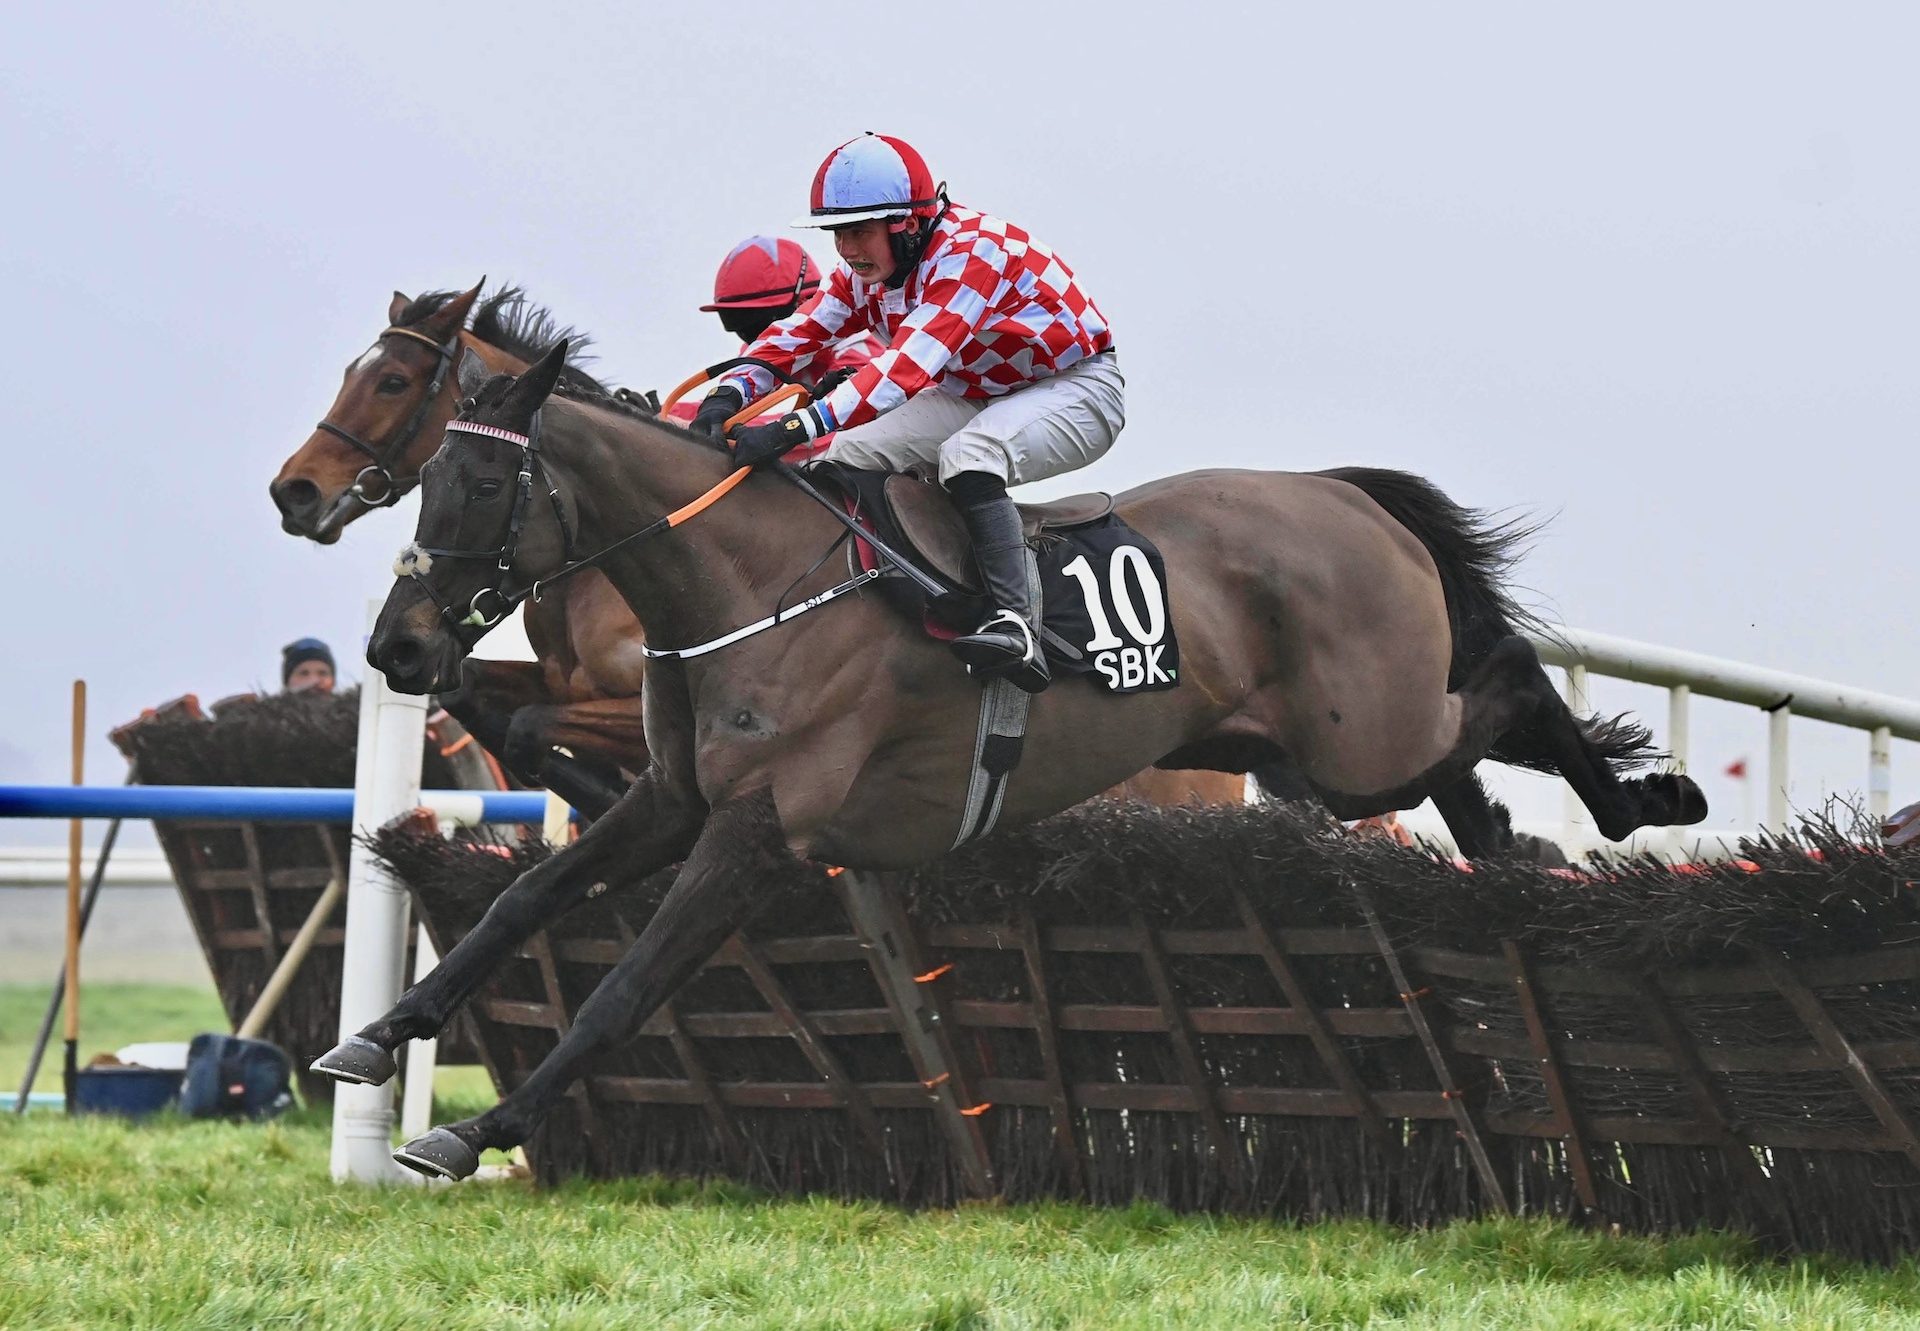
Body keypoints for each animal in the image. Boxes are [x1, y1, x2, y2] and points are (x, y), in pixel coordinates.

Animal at [314, 345, 1712, 1183]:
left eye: (477, 479)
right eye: (429, 473)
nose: (398, 643)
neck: (750, 580)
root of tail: (1343, 492)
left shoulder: (759, 829)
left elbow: (627, 983)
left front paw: (477, 1126)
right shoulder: (672, 799)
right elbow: (519, 899)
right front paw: (375, 1037)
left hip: (1359, 736)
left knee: (1508, 682)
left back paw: (1645, 795)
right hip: (1306, 747)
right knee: (1469, 769)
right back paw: (1516, 856)